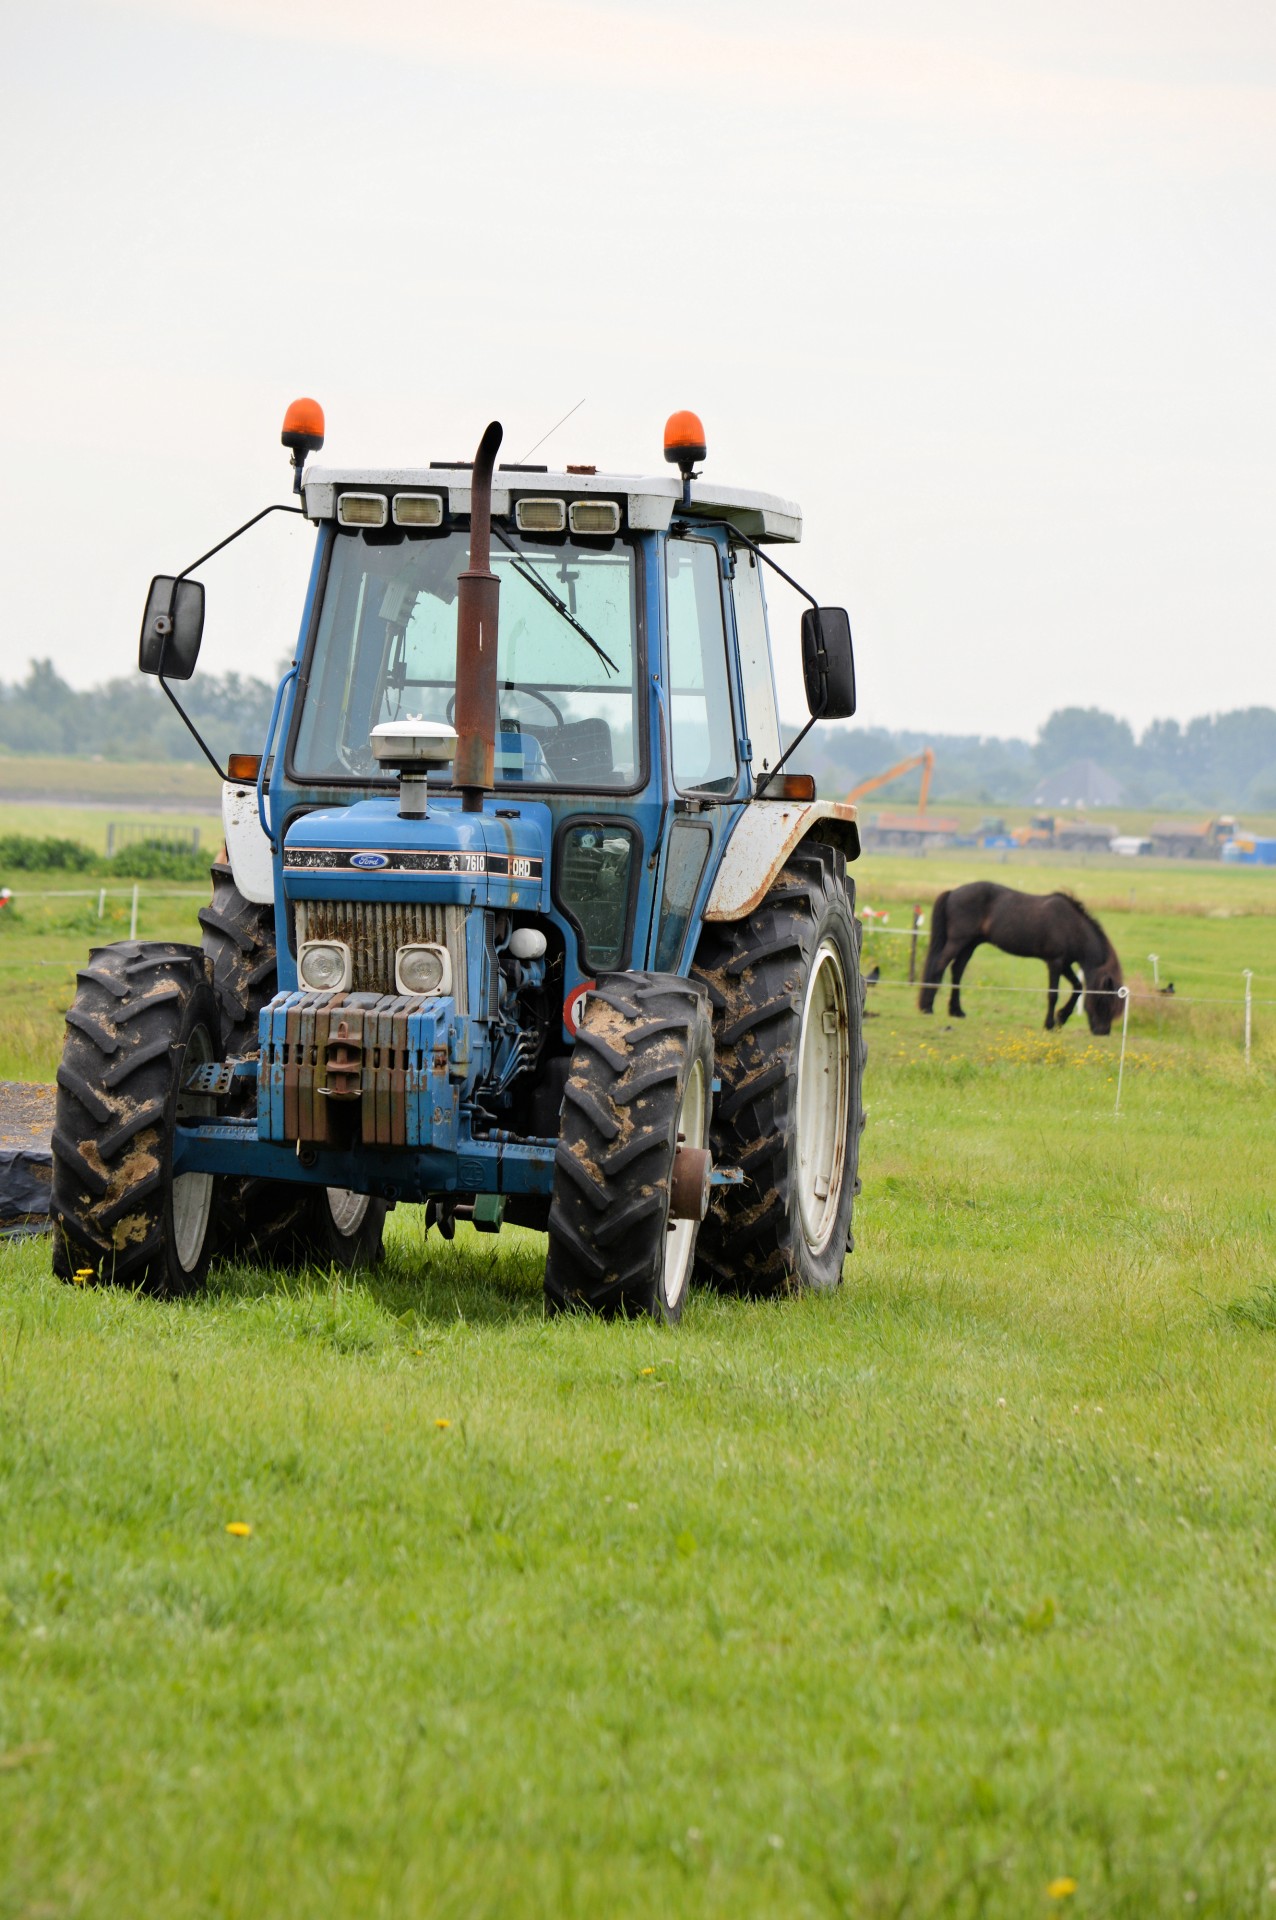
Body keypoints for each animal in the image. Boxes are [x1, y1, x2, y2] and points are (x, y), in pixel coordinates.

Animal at [921, 883, 1120, 1036]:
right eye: (1104, 1000)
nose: (1103, 1031)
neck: (1072, 926)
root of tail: (953, 892)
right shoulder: (1055, 963)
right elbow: (1053, 994)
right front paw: (1049, 1024)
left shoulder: (1065, 964)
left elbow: (1078, 987)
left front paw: (1061, 1018)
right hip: (958, 941)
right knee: (940, 966)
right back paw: (927, 1007)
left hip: (970, 944)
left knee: (957, 970)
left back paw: (956, 1011)